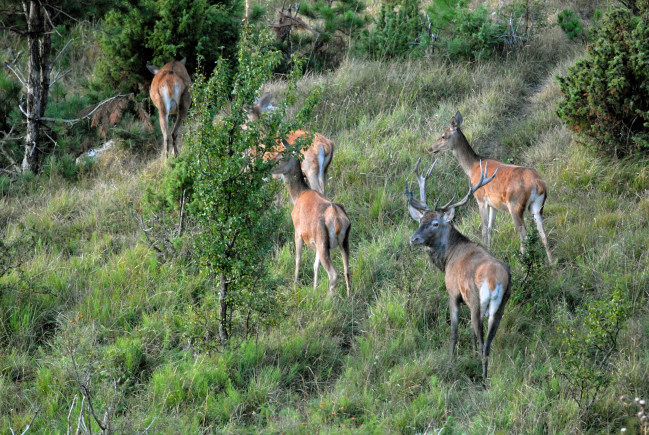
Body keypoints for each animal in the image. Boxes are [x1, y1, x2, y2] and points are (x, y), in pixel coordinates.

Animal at [270, 154, 350, 296]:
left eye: (282, 156)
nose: (268, 165)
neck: (297, 195)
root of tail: (338, 221)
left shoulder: (297, 229)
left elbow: (298, 259)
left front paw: (295, 284)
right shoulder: (316, 241)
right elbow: (315, 265)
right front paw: (314, 288)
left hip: (323, 242)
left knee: (333, 274)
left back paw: (329, 298)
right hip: (343, 241)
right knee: (347, 270)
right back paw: (349, 296)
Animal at [404, 158, 512, 380]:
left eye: (435, 223)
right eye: (420, 220)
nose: (414, 238)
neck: (448, 258)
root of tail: (496, 280)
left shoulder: (454, 292)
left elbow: (454, 331)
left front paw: (450, 360)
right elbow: (469, 333)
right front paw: (469, 354)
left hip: (476, 299)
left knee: (481, 337)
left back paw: (482, 376)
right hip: (501, 304)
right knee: (488, 341)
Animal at [430, 110, 552, 264]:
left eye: (443, 136)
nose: (430, 148)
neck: (472, 167)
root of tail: (538, 184)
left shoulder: (480, 198)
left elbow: (484, 227)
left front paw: (486, 248)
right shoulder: (494, 204)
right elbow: (490, 227)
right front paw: (490, 248)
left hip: (515, 206)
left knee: (523, 232)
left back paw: (522, 260)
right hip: (537, 206)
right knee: (543, 233)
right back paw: (551, 262)